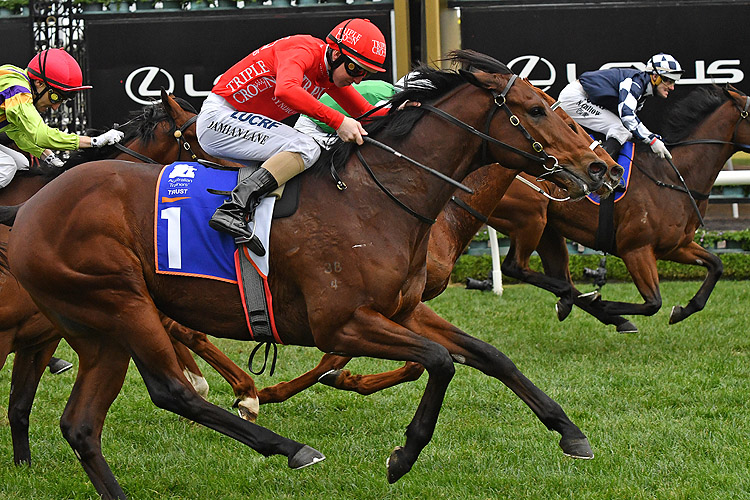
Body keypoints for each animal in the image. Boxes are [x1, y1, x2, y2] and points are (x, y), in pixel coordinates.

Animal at [4, 50, 612, 496]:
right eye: (536, 108)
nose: (599, 166)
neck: (379, 195)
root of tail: (31, 209)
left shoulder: (402, 309)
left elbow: (488, 355)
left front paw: (571, 433)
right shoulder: (340, 323)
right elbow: (440, 362)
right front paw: (403, 455)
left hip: (96, 331)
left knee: (82, 425)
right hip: (120, 303)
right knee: (171, 391)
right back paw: (289, 445)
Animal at [494, 84, 750, 334]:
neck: (671, 177)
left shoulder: (676, 246)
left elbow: (716, 265)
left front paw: (682, 310)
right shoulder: (635, 249)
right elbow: (653, 302)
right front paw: (604, 303)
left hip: (549, 230)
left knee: (558, 275)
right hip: (531, 218)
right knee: (515, 266)